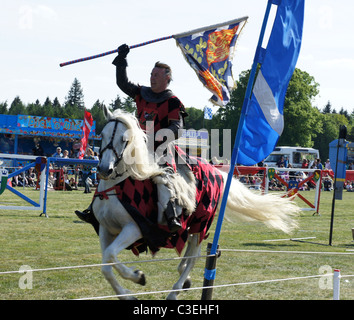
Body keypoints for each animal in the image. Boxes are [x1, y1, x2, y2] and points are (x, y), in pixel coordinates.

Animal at [92, 106, 300, 298]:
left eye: (124, 139)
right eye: (102, 135)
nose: (104, 169)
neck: (115, 187)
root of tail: (216, 171)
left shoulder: (135, 228)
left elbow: (110, 255)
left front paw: (137, 276)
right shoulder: (105, 229)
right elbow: (106, 264)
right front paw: (127, 294)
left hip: (202, 222)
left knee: (195, 255)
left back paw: (175, 290)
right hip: (192, 223)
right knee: (190, 250)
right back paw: (184, 278)